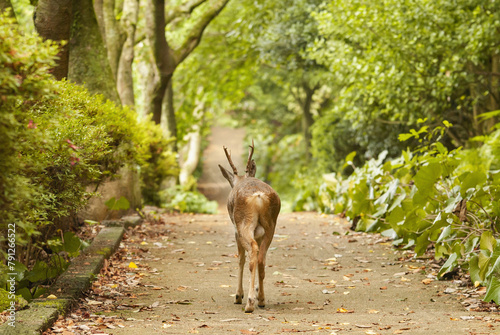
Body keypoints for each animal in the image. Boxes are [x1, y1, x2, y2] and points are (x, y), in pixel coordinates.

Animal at [219, 140, 282, 314]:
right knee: (261, 257)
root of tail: (258, 196)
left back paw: (249, 303)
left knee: (252, 253)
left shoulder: (235, 230)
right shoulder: (259, 233)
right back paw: (261, 299)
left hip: (243, 224)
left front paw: (238, 295)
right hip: (271, 225)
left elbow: (240, 258)